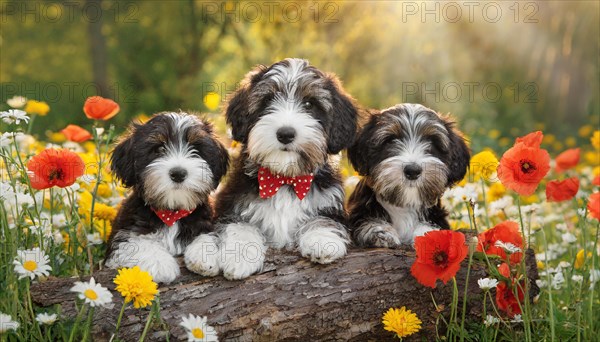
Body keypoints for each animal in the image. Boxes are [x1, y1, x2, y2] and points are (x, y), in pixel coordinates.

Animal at [105, 112, 230, 284]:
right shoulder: (122, 237)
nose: (178, 173)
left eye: (195, 149)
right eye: (158, 149)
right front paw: (161, 264)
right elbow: (137, 241)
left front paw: (204, 257)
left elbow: (206, 235)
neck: (172, 212)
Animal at [185, 57, 358, 280]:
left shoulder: (331, 203)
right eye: (267, 100)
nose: (285, 134)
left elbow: (325, 219)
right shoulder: (231, 203)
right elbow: (240, 225)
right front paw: (239, 257)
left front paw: (322, 241)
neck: (284, 178)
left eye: (309, 104)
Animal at [346, 103, 468, 247]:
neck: (405, 204)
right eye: (390, 140)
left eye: (432, 142)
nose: (412, 170)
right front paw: (381, 232)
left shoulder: (437, 216)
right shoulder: (359, 212)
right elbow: (367, 220)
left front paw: (428, 236)